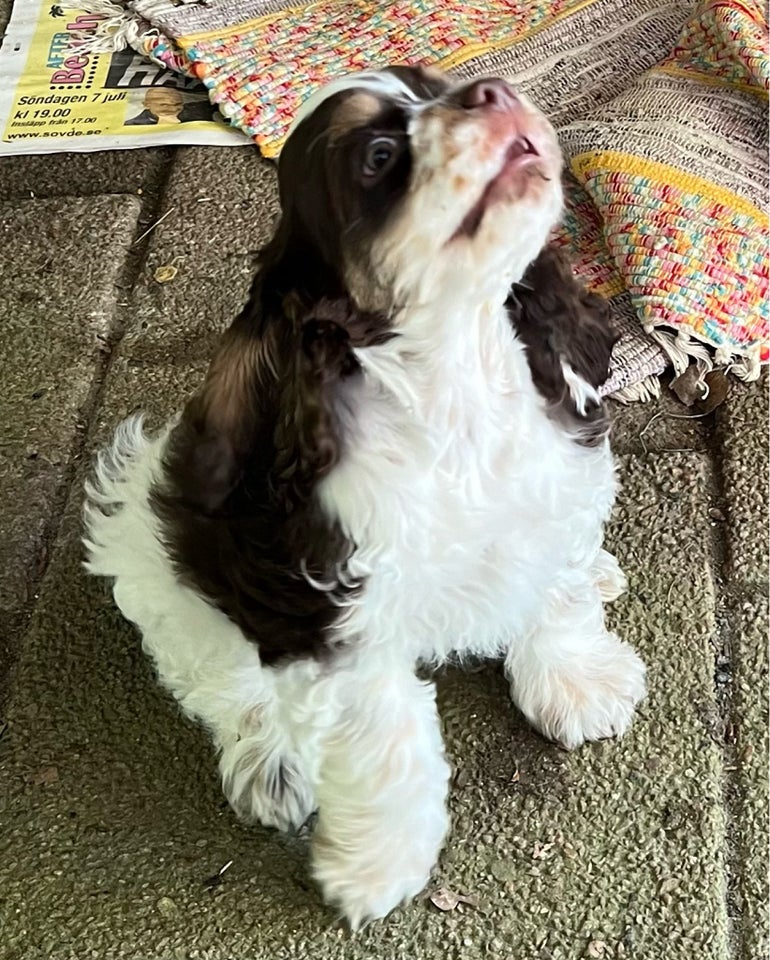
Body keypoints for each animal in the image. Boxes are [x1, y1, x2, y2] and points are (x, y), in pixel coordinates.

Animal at [84, 63, 644, 928]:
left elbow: (559, 595)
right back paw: (272, 767)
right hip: (153, 548)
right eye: (378, 158)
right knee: (219, 678)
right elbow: (384, 744)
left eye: (437, 83)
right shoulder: (336, 620)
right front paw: (376, 868)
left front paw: (580, 684)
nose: (489, 89)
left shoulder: (555, 489)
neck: (455, 379)